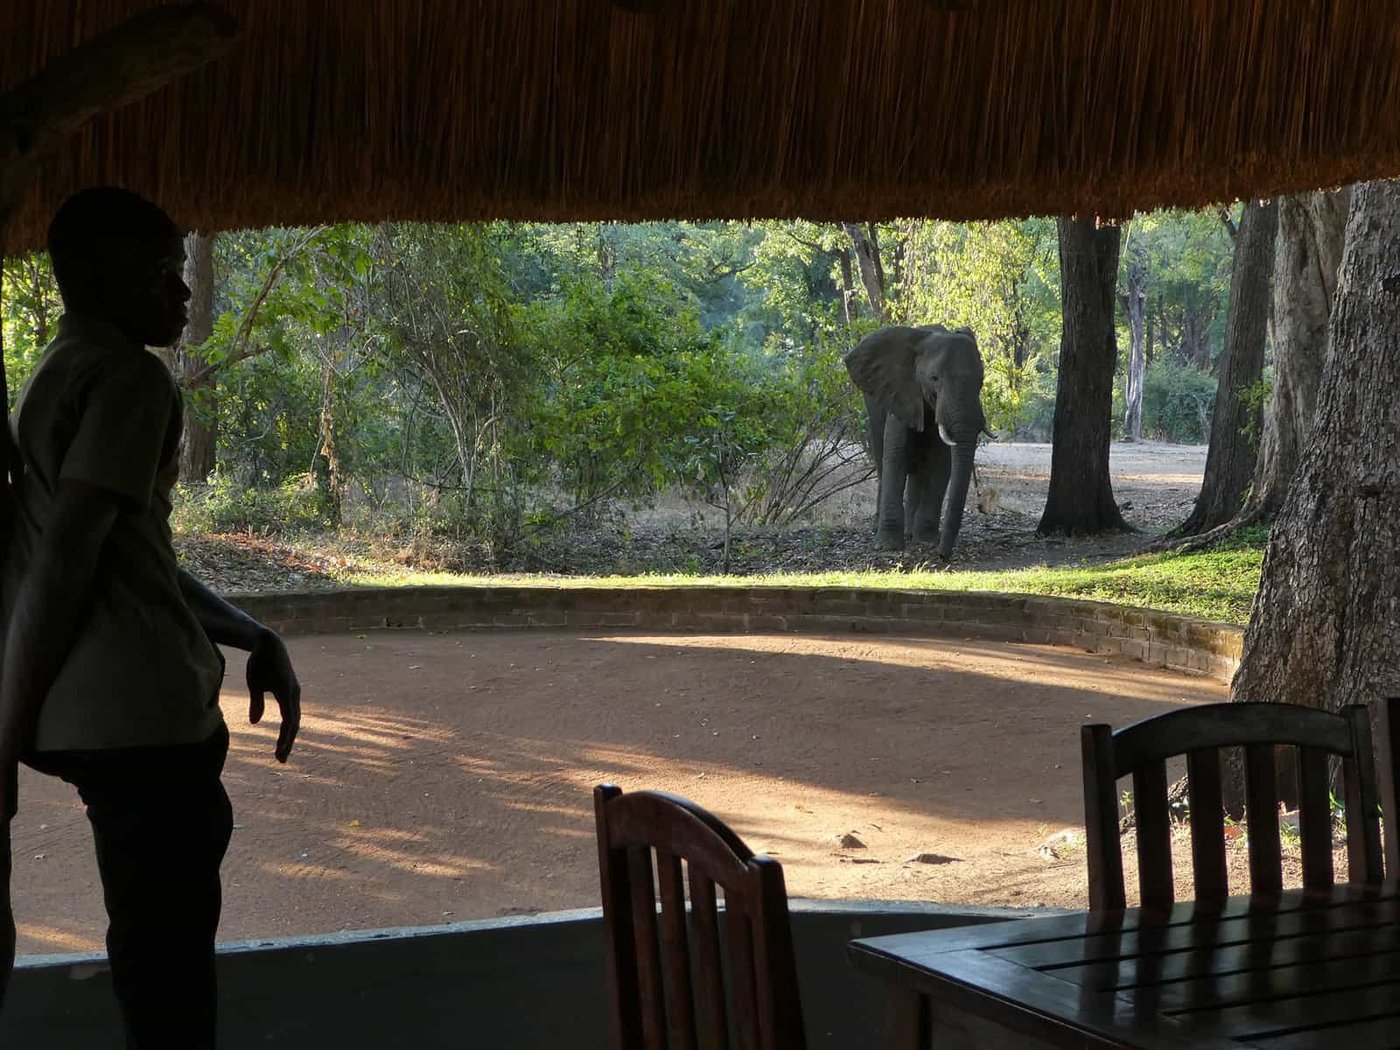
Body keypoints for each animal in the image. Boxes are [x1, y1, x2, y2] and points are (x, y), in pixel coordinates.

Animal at [844, 324, 987, 558]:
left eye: (981, 381)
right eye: (934, 378)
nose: (942, 555)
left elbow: (941, 463)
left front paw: (927, 541)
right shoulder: (899, 394)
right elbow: (895, 455)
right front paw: (888, 546)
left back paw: (911, 533)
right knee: (882, 461)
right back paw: (879, 529)